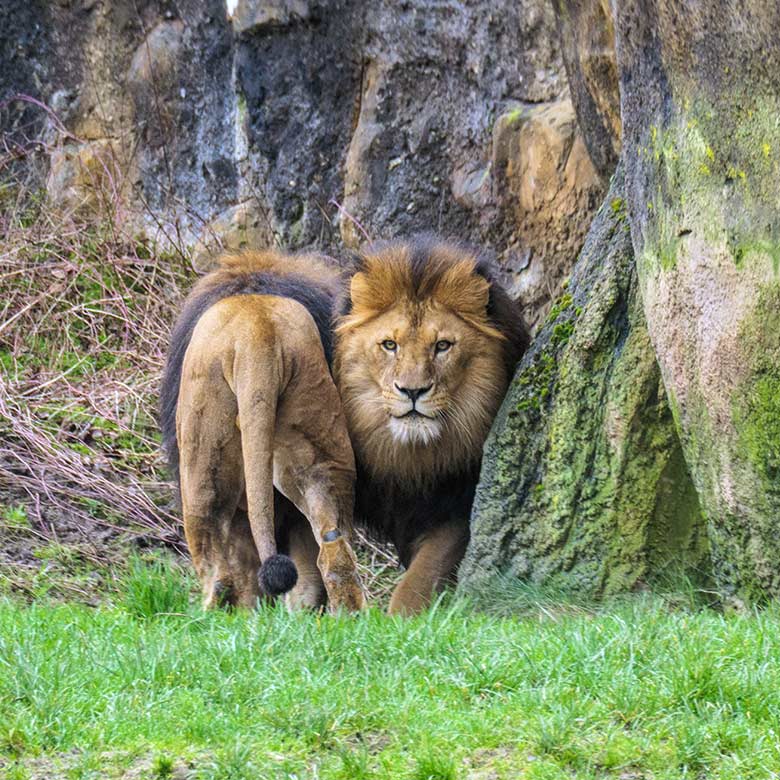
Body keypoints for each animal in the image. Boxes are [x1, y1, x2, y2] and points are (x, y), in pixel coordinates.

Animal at [336, 238, 532, 616]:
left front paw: (400, 618)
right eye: (390, 345)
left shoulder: (457, 510)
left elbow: (420, 578)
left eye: (442, 346)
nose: (412, 391)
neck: (414, 458)